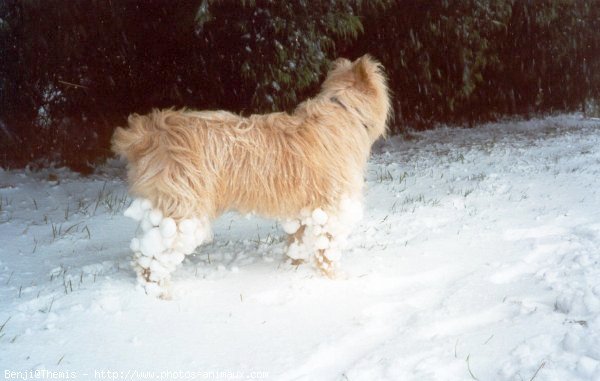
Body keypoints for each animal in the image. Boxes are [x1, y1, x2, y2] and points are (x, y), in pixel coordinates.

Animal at [112, 54, 392, 296]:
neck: (344, 110)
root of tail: (150, 133)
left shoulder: (303, 213)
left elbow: (298, 245)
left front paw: (294, 268)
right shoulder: (329, 209)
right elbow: (327, 250)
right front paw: (335, 281)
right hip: (183, 213)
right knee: (151, 257)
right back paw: (159, 292)